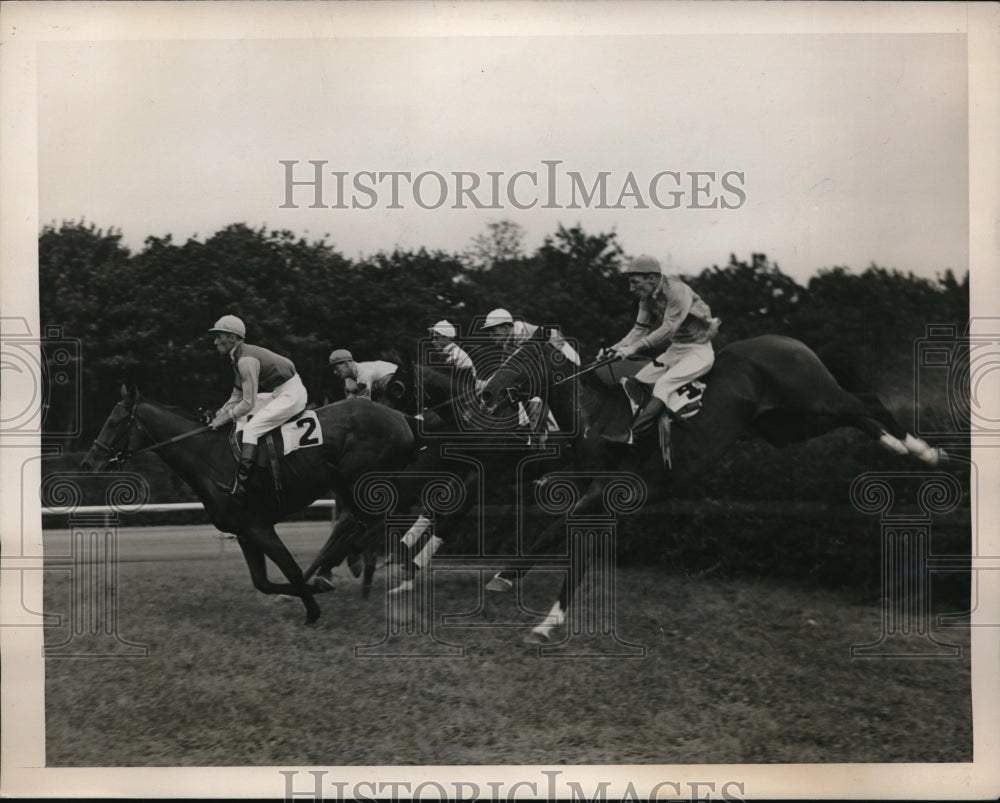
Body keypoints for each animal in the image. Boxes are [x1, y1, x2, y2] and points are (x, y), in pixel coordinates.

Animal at [80, 386, 418, 624]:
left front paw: (312, 607)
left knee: (372, 523)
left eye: (114, 422)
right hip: (353, 486)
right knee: (366, 523)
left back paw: (353, 560)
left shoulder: (259, 525)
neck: (212, 458)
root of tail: (403, 418)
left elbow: (291, 569)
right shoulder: (244, 532)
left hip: (360, 481)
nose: (89, 463)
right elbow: (264, 582)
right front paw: (311, 592)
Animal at [480, 330, 948, 644]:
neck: (599, 417)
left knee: (862, 403)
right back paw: (909, 446)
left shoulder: (609, 497)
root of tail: (790, 340)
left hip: (812, 399)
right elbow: (556, 539)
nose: (487, 392)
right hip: (788, 425)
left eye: (523, 356)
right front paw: (513, 586)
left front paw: (537, 613)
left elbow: (565, 543)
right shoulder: (595, 498)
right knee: (860, 409)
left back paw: (920, 450)